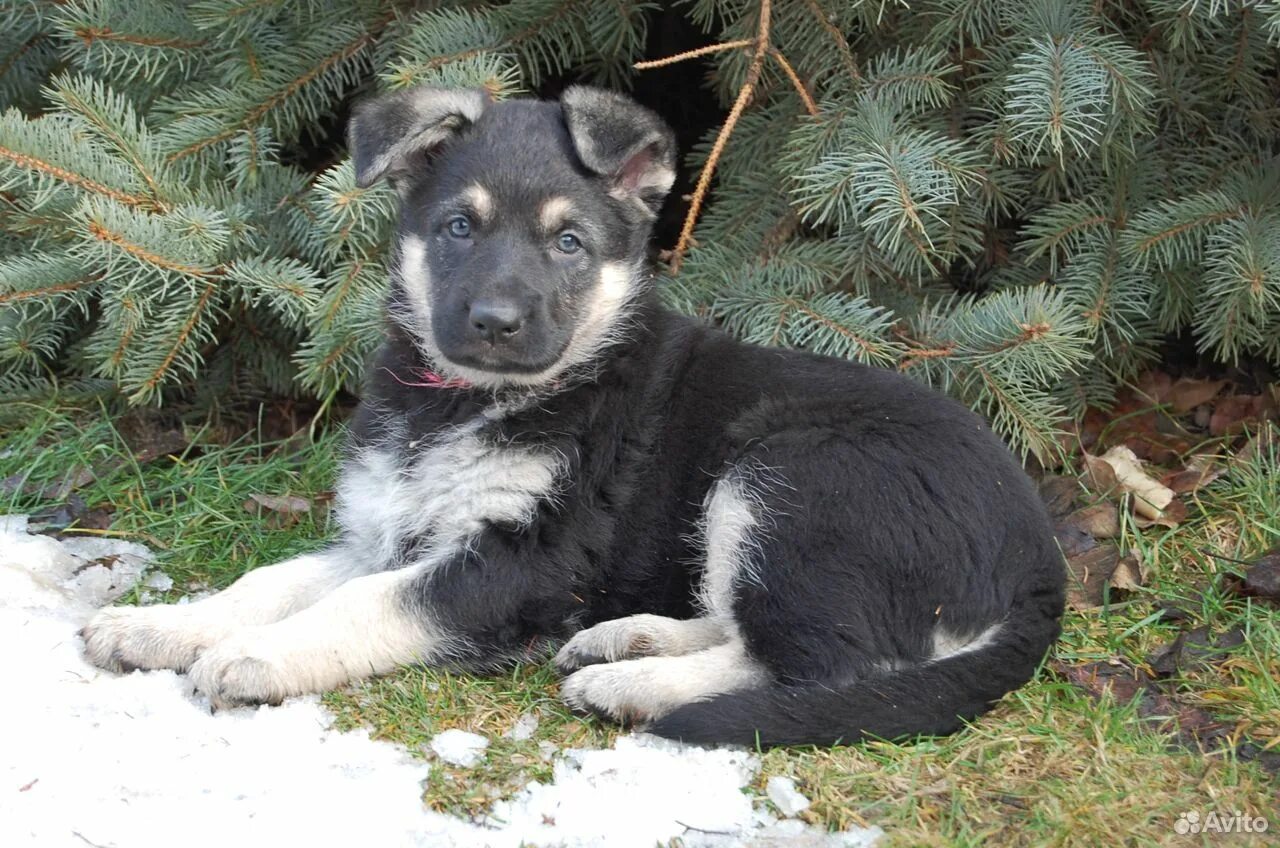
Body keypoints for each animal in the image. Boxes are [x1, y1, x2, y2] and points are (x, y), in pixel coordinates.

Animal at [80, 86, 1059, 748]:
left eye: (569, 243)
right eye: (458, 228)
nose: (496, 323)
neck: (465, 404)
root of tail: (1042, 558)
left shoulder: (525, 558)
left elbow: (368, 603)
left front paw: (257, 657)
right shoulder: (384, 531)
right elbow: (270, 581)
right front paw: (162, 626)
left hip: (791, 474)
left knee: (830, 666)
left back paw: (640, 687)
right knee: (756, 627)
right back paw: (628, 640)